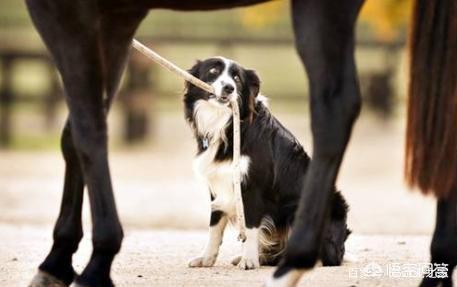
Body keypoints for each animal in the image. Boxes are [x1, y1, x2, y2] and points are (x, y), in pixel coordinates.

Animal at [182, 57, 350, 272]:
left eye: (237, 78)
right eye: (213, 71)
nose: (229, 88)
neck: (229, 125)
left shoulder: (253, 188)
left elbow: (250, 228)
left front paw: (249, 260)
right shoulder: (218, 184)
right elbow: (214, 227)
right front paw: (206, 259)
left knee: (328, 258)